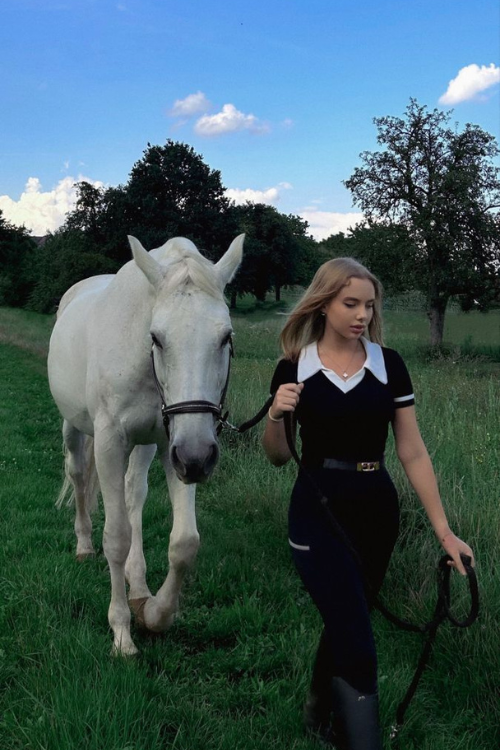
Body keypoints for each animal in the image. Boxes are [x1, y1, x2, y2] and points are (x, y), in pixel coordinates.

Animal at [47, 233, 244, 655]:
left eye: (226, 337)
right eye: (156, 338)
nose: (199, 459)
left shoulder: (177, 443)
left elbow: (184, 543)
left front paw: (154, 613)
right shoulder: (110, 443)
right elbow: (116, 538)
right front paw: (121, 632)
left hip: (150, 445)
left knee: (133, 492)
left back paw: (137, 586)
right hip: (74, 428)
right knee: (78, 475)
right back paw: (83, 545)